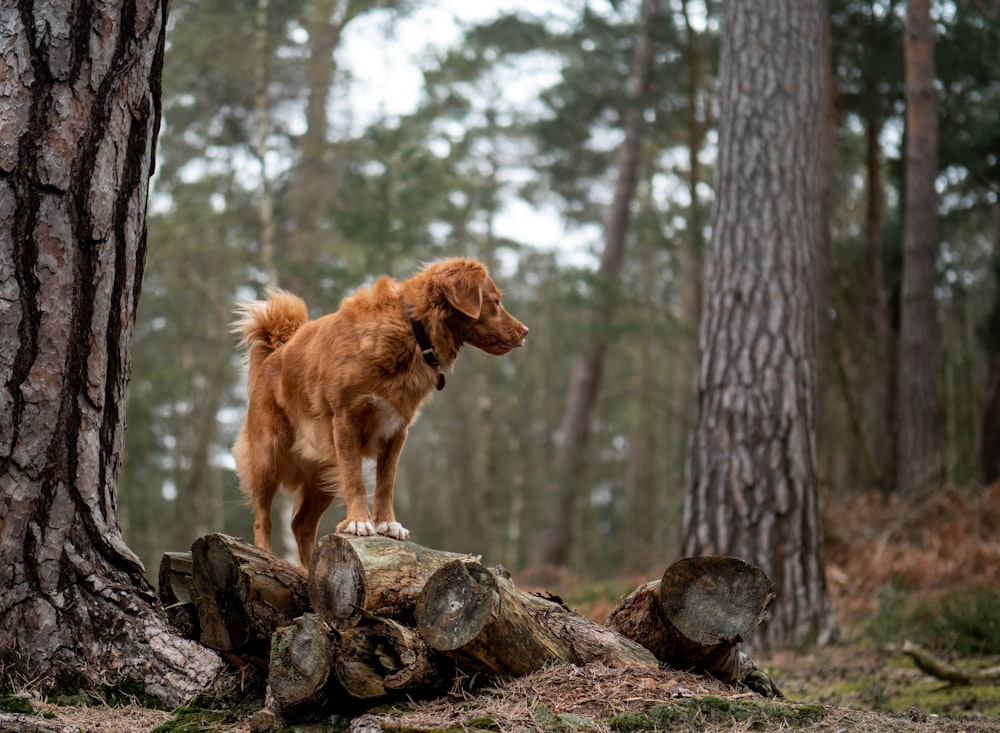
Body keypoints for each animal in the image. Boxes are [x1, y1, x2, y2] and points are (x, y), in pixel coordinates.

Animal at [234, 258, 532, 568]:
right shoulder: (345, 422)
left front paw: (387, 523)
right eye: (495, 301)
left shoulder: (397, 429)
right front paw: (358, 521)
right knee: (262, 519)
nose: (526, 331)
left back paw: (307, 571)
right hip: (268, 457)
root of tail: (273, 354)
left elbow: (386, 482)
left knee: (301, 525)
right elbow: (355, 479)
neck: (413, 330)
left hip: (322, 473)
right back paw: (264, 555)